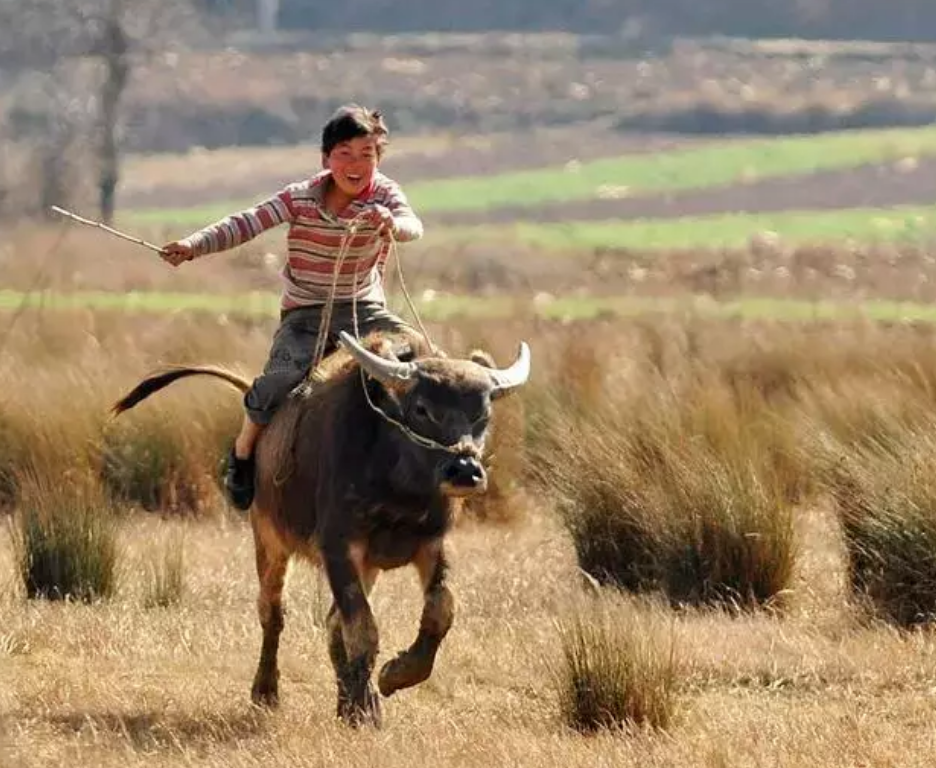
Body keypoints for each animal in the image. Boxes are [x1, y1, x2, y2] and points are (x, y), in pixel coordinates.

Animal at [113, 330, 532, 728]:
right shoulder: (338, 547)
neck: (399, 485)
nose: (465, 471)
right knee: (273, 612)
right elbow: (362, 628)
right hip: (268, 540)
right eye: (421, 408)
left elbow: (440, 610)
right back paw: (267, 691)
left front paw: (393, 677)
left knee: (331, 623)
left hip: (367, 566)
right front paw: (370, 705)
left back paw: (345, 702)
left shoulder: (430, 544)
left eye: (483, 414)